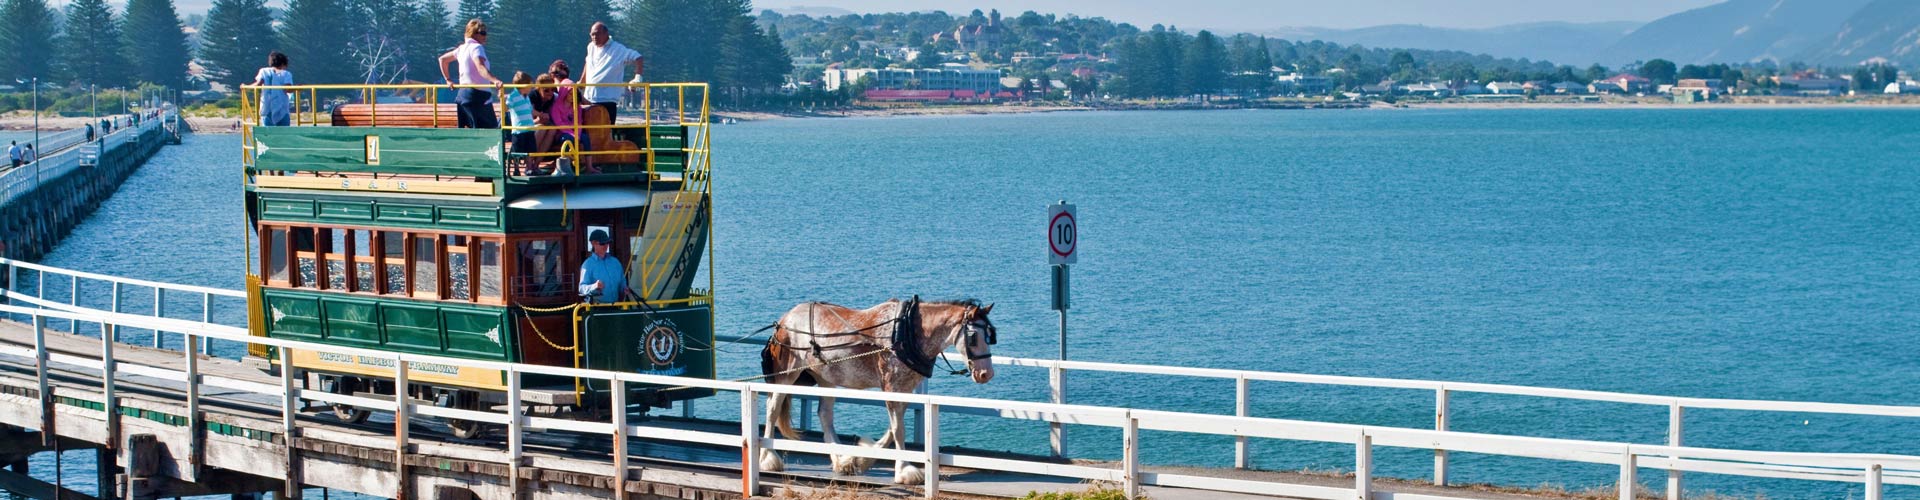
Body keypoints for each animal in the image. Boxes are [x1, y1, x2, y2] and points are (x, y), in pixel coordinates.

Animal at [757, 297, 997, 484]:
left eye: (990, 336)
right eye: (974, 337)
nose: (986, 374)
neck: (906, 332)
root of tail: (784, 320)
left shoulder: (903, 388)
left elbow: (893, 428)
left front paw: (862, 459)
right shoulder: (891, 386)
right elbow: (898, 429)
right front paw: (905, 471)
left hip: (825, 376)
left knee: (824, 414)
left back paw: (841, 460)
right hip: (786, 374)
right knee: (772, 408)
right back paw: (769, 458)